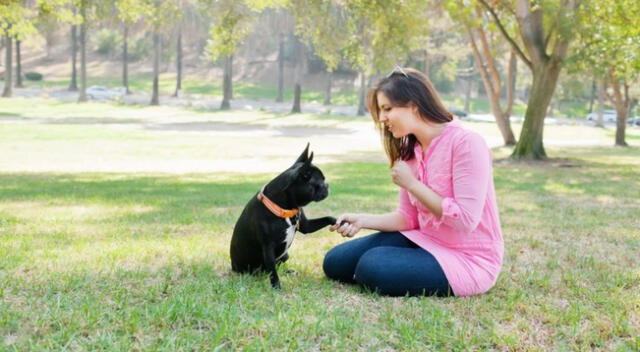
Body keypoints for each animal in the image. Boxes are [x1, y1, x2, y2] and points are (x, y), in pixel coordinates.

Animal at [231, 143, 340, 288]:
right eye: (320, 182)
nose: (327, 186)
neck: (285, 209)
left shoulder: (306, 226)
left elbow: (328, 218)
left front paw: (339, 222)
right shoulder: (268, 247)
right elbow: (272, 269)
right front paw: (276, 286)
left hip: (285, 255)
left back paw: (288, 272)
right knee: (266, 270)